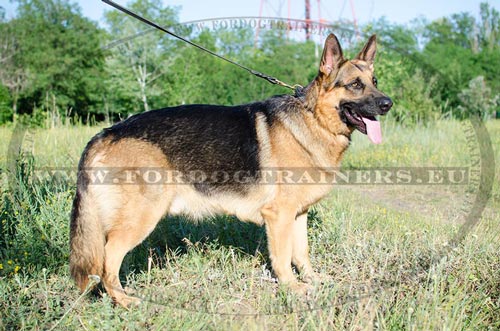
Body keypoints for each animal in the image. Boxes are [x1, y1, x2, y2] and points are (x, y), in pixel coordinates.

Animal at [70, 33, 392, 308]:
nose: (388, 103)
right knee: (108, 260)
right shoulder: (279, 217)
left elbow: (302, 253)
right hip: (140, 217)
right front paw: (291, 288)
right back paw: (124, 301)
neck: (313, 118)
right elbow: (283, 257)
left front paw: (313, 280)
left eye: (375, 81)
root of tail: (106, 133)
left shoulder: (298, 214)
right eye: (355, 85)